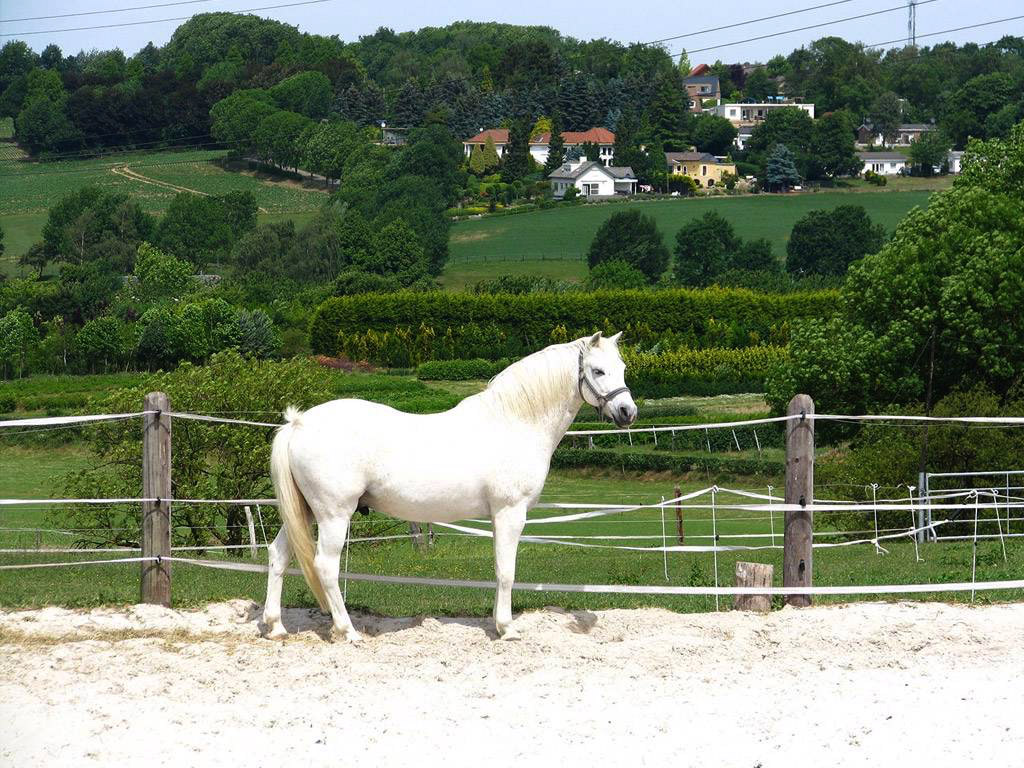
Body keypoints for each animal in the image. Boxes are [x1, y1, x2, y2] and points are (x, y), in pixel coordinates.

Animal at [260, 333, 634, 638]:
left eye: (622, 367)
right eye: (598, 371)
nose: (627, 411)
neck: (514, 422)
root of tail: (298, 423)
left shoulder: (498, 518)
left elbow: (498, 569)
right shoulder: (510, 514)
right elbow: (507, 572)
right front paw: (507, 628)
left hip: (304, 512)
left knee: (279, 555)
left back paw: (276, 627)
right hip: (333, 515)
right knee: (325, 565)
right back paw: (346, 630)